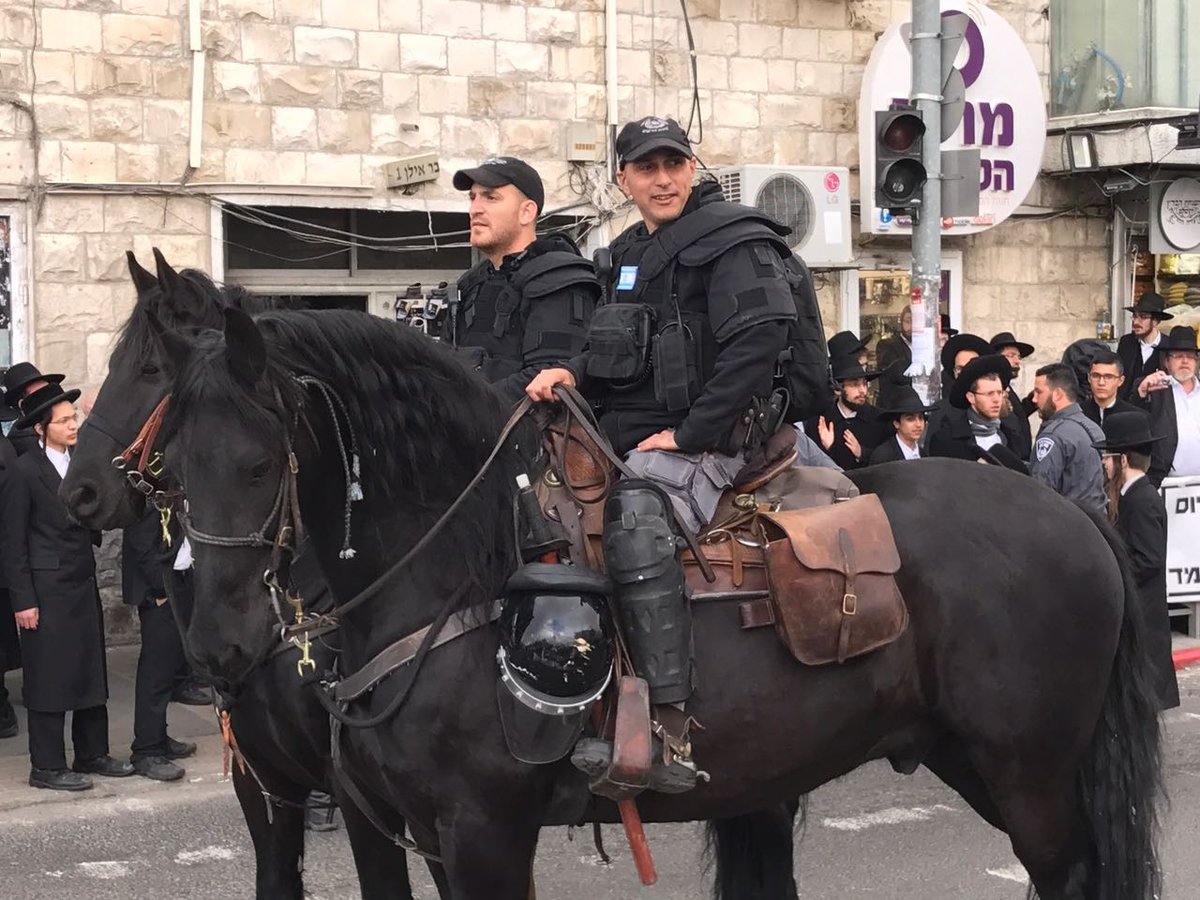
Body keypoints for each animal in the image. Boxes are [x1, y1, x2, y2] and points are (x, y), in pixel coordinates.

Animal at [150, 307, 1161, 897]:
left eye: (257, 463)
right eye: (173, 465)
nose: (217, 645)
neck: (457, 574)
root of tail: (1074, 516)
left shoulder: (482, 831)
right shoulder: (399, 826)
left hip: (1027, 766)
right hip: (966, 753)